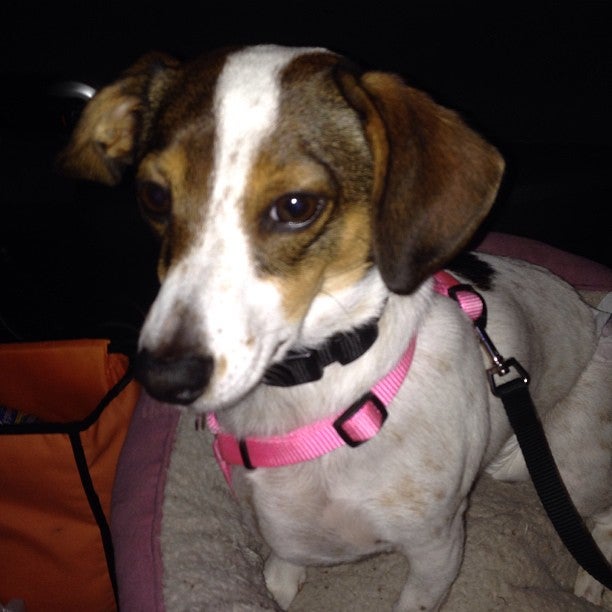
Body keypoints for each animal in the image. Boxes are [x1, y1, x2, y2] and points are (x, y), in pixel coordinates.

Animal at [59, 44, 612, 610]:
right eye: (153, 195)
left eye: (296, 206)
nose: (164, 378)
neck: (312, 387)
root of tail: (595, 321)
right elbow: (281, 565)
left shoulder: (436, 549)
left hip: (555, 464)